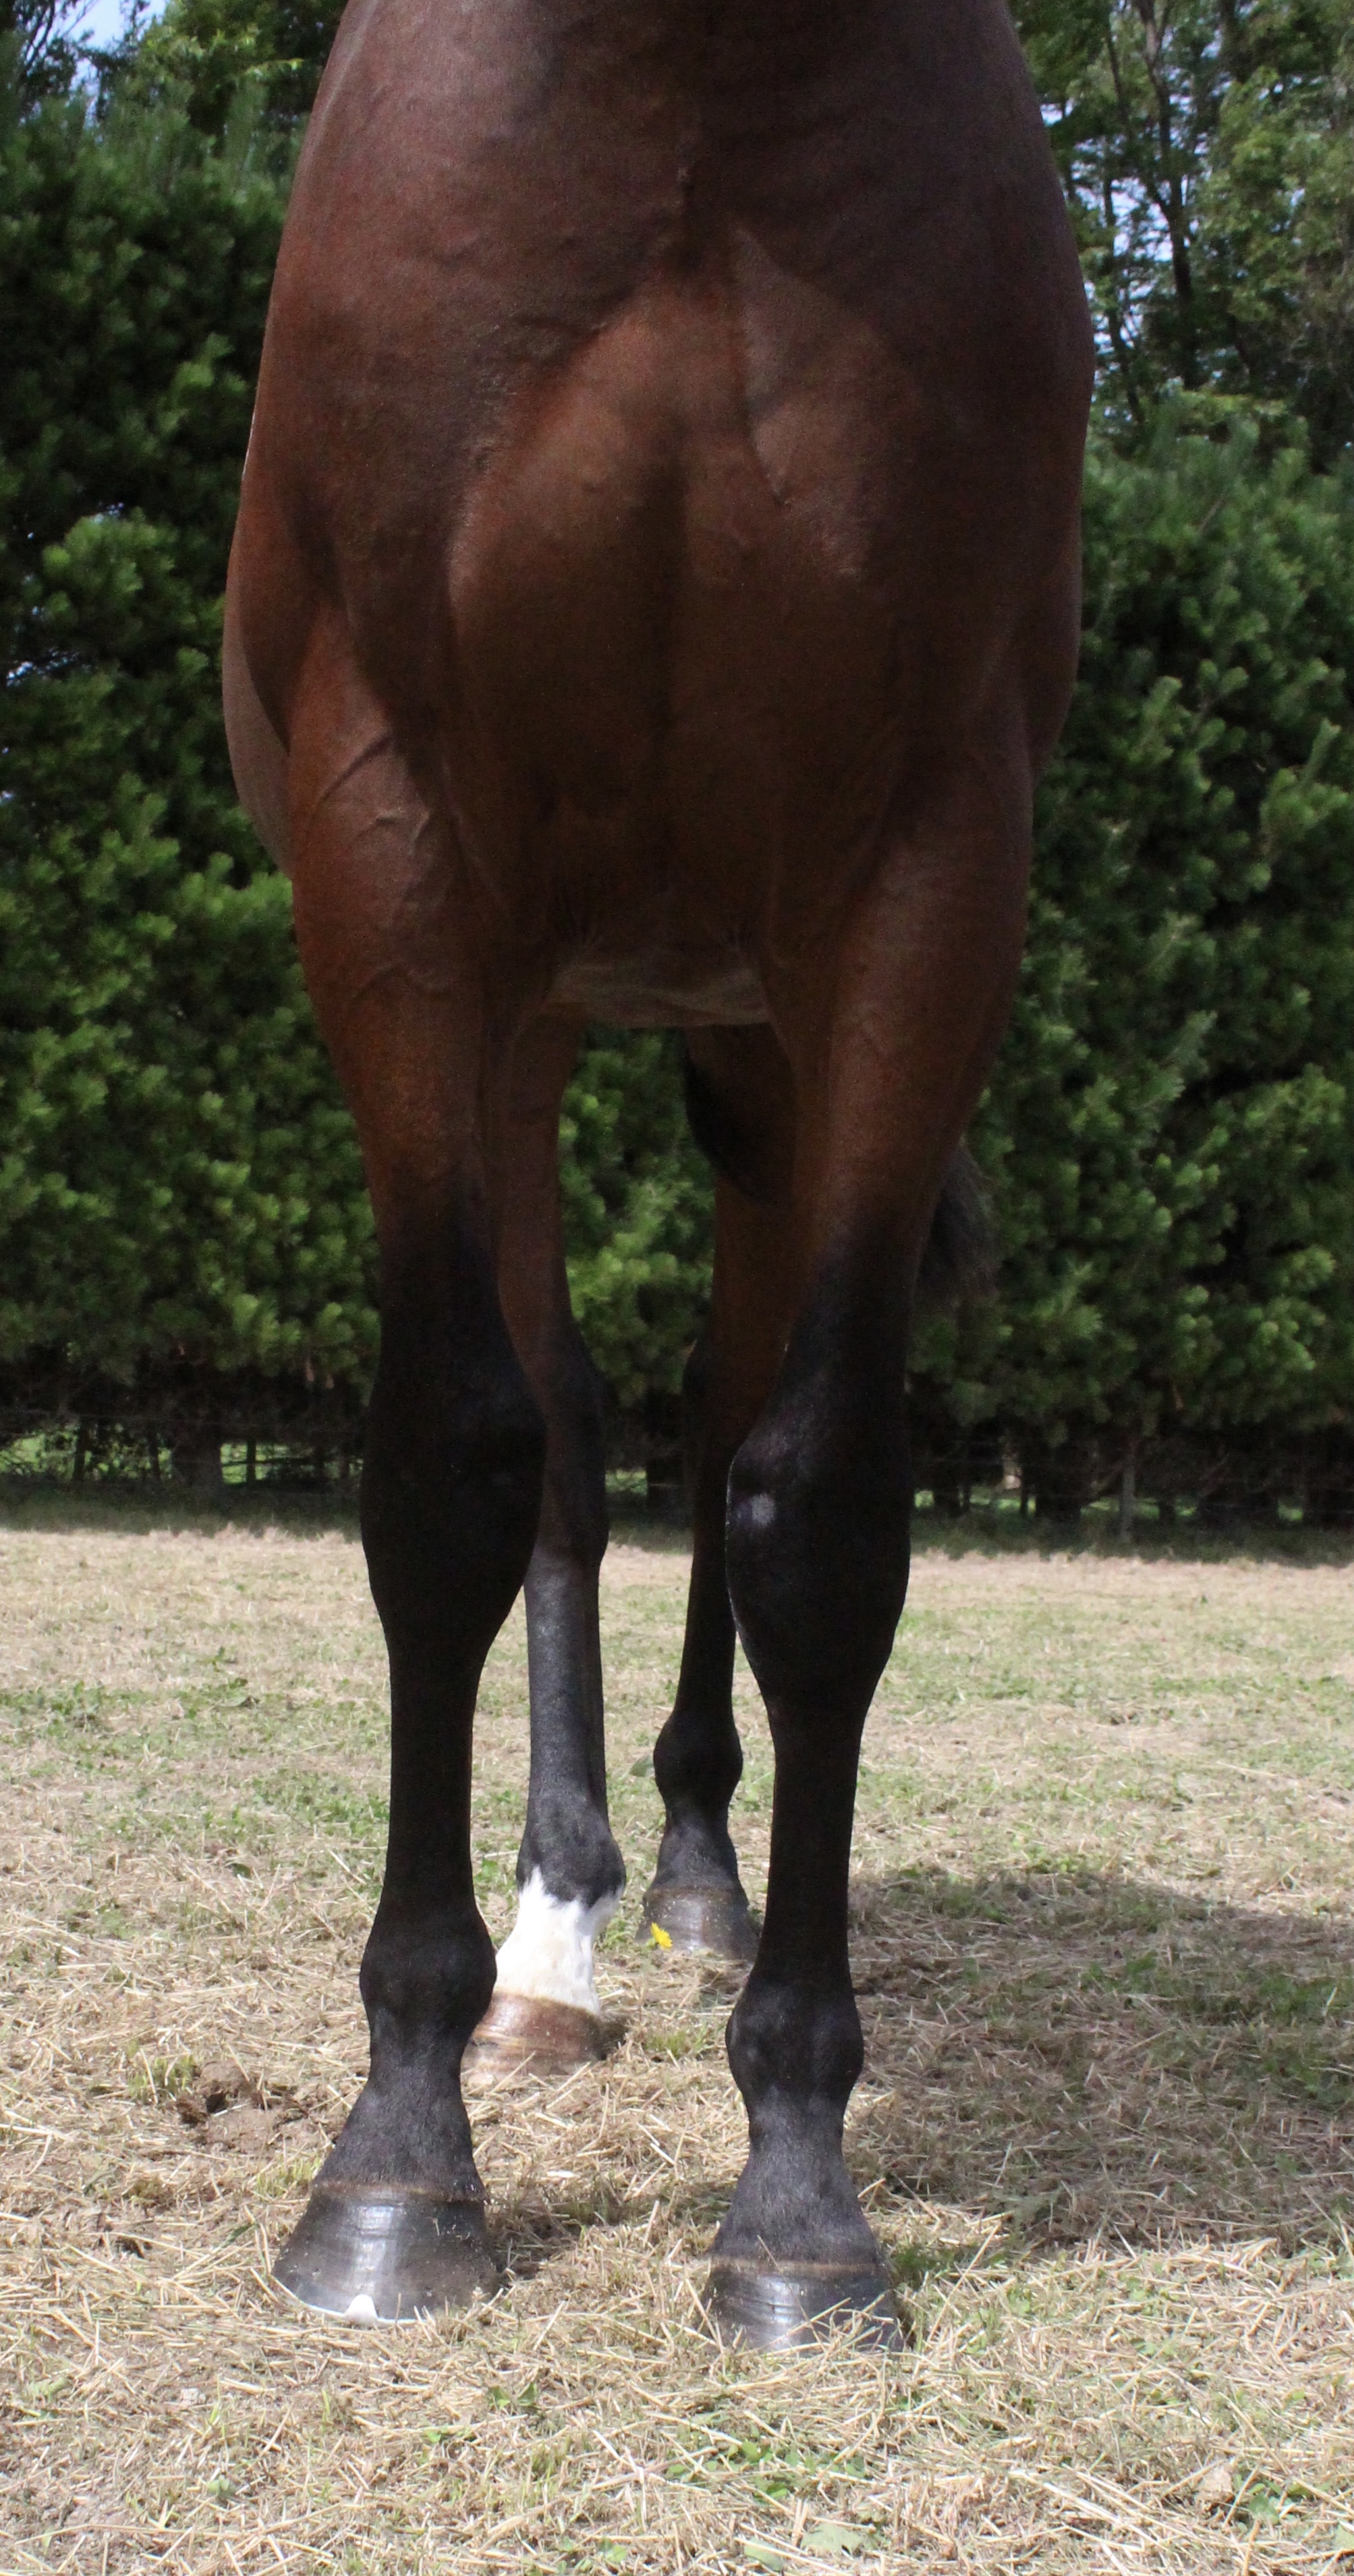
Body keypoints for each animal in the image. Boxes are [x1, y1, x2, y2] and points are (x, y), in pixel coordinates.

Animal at [224, 0, 1092, 2346]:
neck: (690, 72)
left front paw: (795, 2177)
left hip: (751, 1038)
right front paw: (398, 2150)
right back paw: (554, 1940)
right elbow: (451, 1469)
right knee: (561, 1437)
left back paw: (694, 1877)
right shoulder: (397, 840)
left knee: (710, 1433)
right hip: (528, 1023)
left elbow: (820, 1509)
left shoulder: (915, 873)